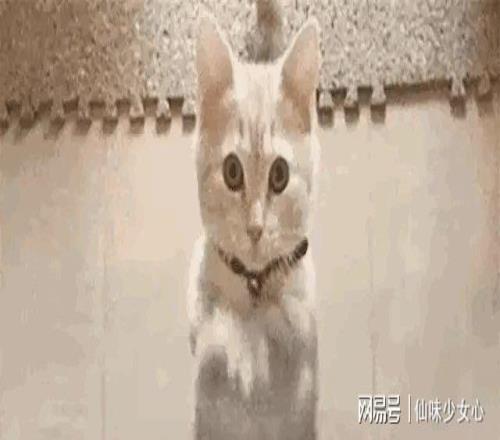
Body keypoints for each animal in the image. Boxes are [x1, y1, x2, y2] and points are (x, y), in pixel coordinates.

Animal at [187, 1, 321, 438]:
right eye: (232, 171)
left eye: (280, 175)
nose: (255, 229)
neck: (254, 286)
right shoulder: (200, 277)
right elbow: (211, 333)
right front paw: (232, 356)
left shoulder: (303, 306)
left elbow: (291, 329)